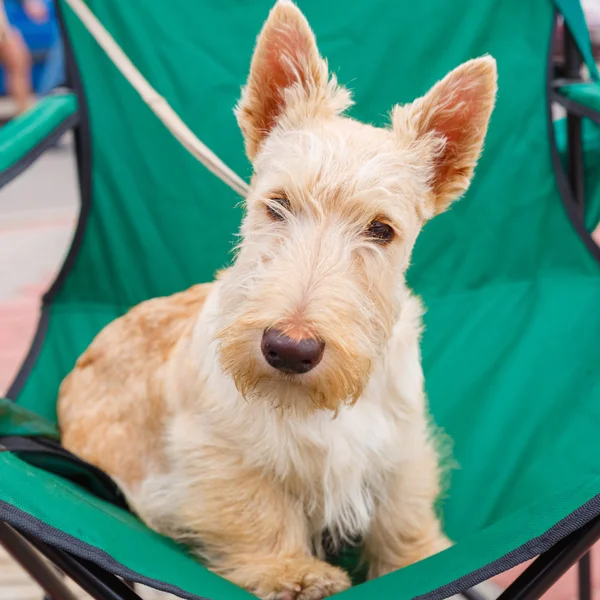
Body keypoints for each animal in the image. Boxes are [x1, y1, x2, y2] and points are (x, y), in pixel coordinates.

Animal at [57, 2, 496, 596]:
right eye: (277, 204)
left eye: (381, 230)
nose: (289, 349)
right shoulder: (217, 453)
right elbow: (256, 511)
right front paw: (290, 570)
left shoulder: (401, 446)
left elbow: (403, 513)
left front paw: (420, 558)